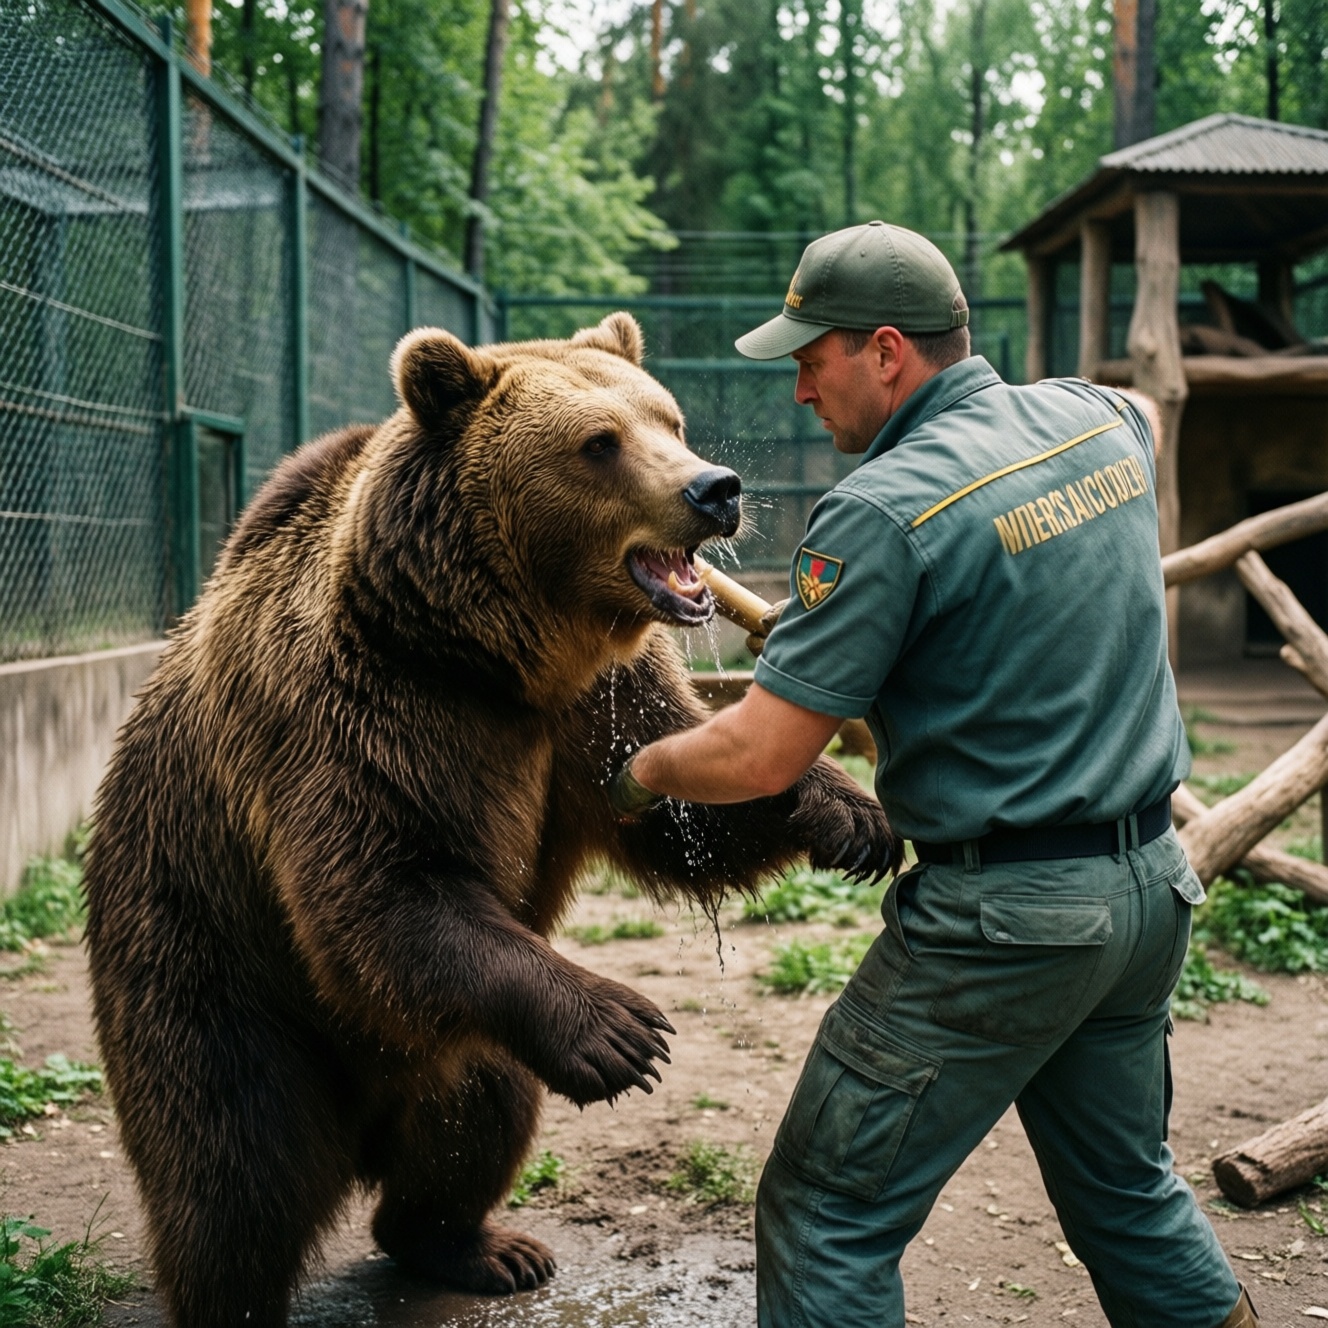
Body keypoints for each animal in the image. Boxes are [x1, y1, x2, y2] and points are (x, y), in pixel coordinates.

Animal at [83, 312, 898, 1328]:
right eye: (600, 443)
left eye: (669, 419)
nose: (717, 489)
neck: (494, 655)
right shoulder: (360, 712)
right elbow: (383, 890)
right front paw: (625, 1029)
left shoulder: (596, 707)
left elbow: (680, 816)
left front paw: (847, 810)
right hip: (207, 966)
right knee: (234, 1170)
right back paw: (241, 1284)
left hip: (459, 1048)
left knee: (478, 1116)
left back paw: (482, 1246)